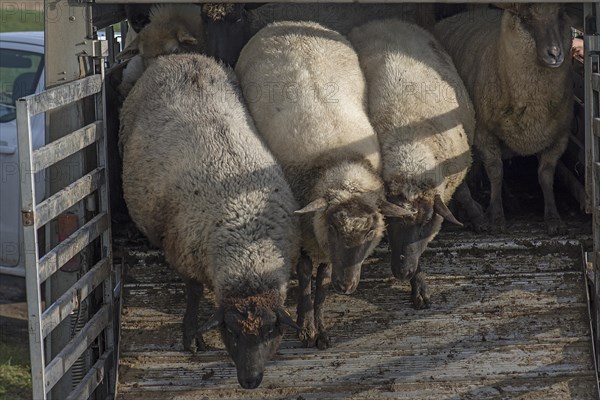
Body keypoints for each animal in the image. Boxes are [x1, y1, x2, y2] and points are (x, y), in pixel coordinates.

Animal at [119, 51, 300, 390]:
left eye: (270, 331)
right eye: (231, 331)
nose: (250, 380)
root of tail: (182, 56)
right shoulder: (185, 254)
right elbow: (193, 294)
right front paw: (191, 337)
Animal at [234, 20, 412, 348]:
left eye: (371, 231)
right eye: (332, 226)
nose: (346, 286)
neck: (340, 165)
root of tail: (292, 24)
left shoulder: (324, 245)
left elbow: (323, 279)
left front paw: (322, 328)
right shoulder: (306, 229)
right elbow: (306, 276)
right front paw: (306, 327)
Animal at [434, 3, 576, 234]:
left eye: (559, 15)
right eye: (526, 18)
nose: (555, 54)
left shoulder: (559, 137)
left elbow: (546, 176)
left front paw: (553, 218)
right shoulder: (484, 134)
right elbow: (496, 172)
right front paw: (497, 217)